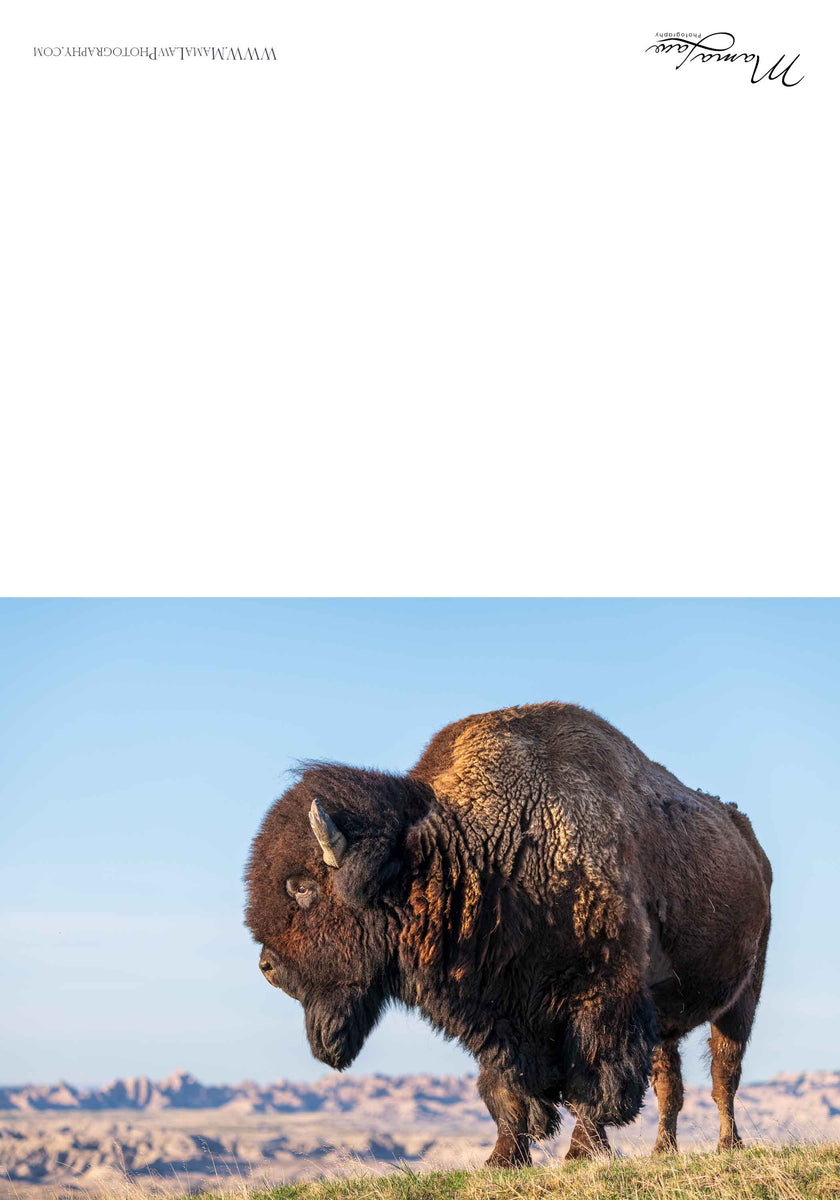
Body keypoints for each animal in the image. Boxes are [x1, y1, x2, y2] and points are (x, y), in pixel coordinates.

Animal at [245, 703, 772, 1166]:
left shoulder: (603, 996)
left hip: (742, 997)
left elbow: (593, 1079)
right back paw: (664, 1151)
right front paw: (503, 1159)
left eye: (302, 886)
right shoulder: (496, 1015)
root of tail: (750, 843)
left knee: (724, 1075)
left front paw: (581, 1153)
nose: (267, 967)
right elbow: (507, 1088)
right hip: (666, 1018)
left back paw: (728, 1145)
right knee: (670, 1083)